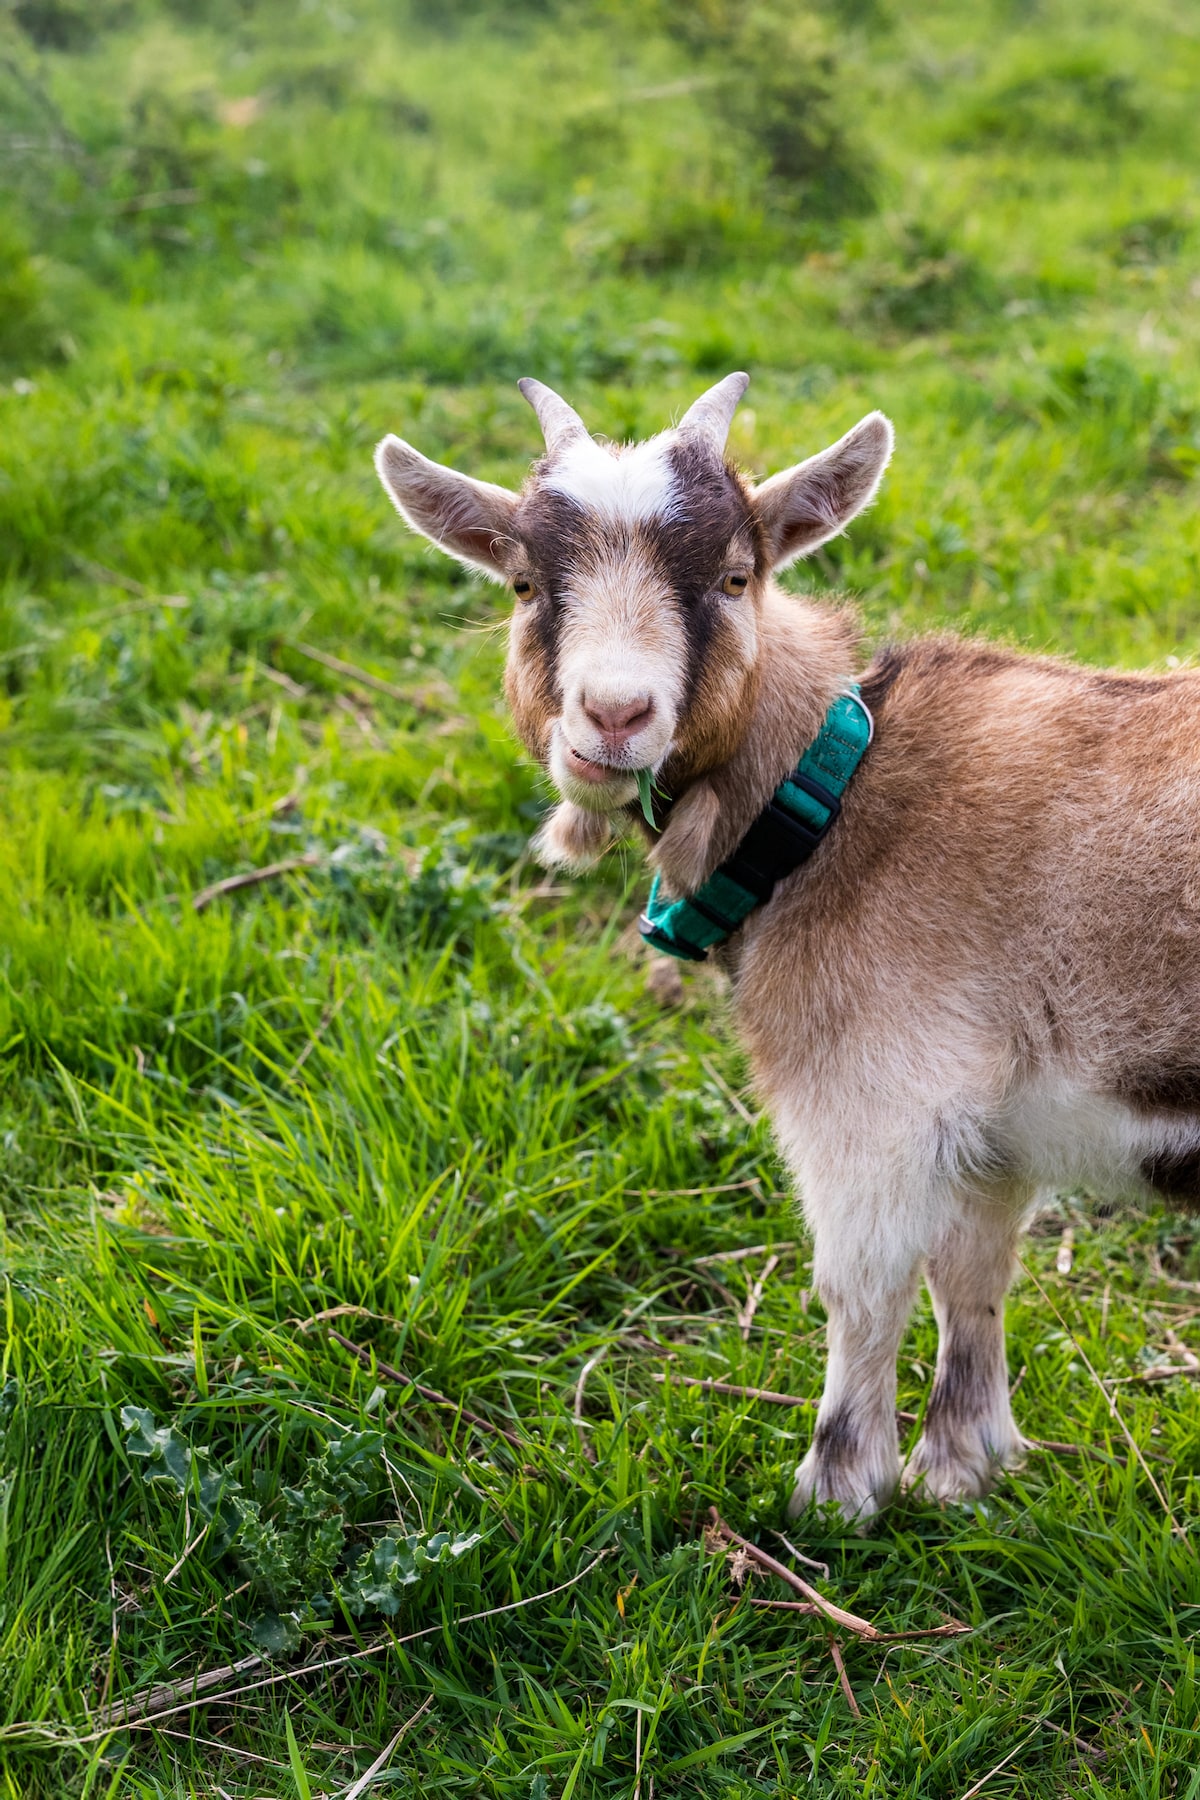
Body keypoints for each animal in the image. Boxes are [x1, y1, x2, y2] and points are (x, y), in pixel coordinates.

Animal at [375, 373, 1200, 1525]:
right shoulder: (989, 1128)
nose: (613, 716)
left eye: (734, 575)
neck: (833, 796)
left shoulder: (872, 1096)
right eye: (526, 583)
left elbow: (862, 1287)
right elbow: (973, 1271)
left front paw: (837, 1494)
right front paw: (966, 1468)